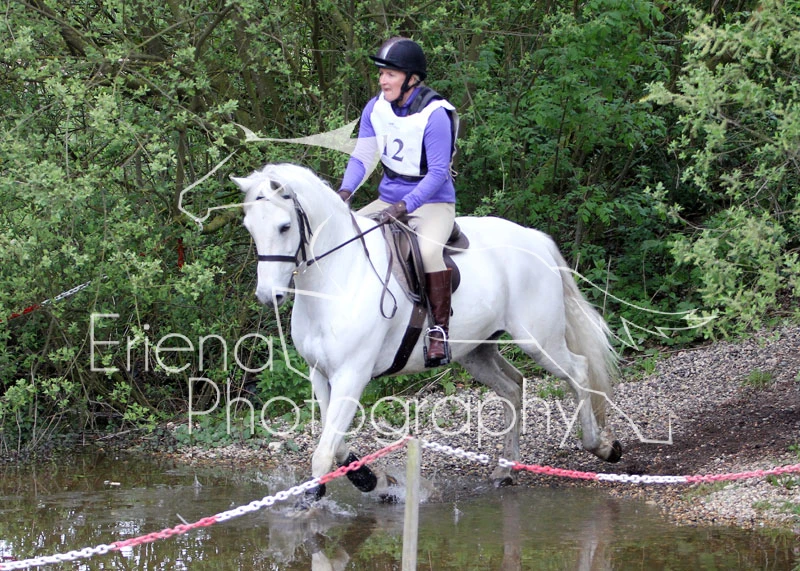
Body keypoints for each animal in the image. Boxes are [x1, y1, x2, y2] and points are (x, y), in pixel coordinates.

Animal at [233, 163, 621, 501]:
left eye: (284, 226)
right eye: (249, 227)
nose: (268, 295)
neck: (338, 277)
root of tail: (534, 239)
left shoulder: (351, 375)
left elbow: (324, 451)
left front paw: (316, 498)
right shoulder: (321, 374)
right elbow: (337, 443)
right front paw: (373, 481)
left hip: (539, 340)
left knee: (578, 372)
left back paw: (602, 447)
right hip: (475, 350)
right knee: (513, 387)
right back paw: (506, 469)